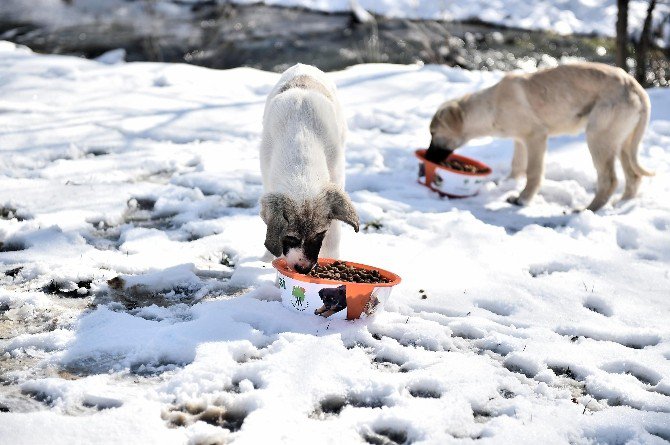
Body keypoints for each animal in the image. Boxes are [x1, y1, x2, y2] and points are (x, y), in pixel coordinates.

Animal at [260, 62, 360, 270]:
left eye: (320, 234)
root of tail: (302, 66)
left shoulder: (336, 178)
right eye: (290, 237)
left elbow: (334, 234)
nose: (304, 269)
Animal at [428, 61, 652, 212]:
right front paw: (508, 183)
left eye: (433, 133)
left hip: (598, 137)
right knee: (634, 176)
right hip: (622, 142)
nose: (428, 156)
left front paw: (522, 199)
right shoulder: (520, 139)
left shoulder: (536, 136)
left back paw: (587, 210)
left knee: (610, 180)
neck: (491, 108)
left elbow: (533, 171)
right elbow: (517, 164)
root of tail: (635, 86)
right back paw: (622, 203)